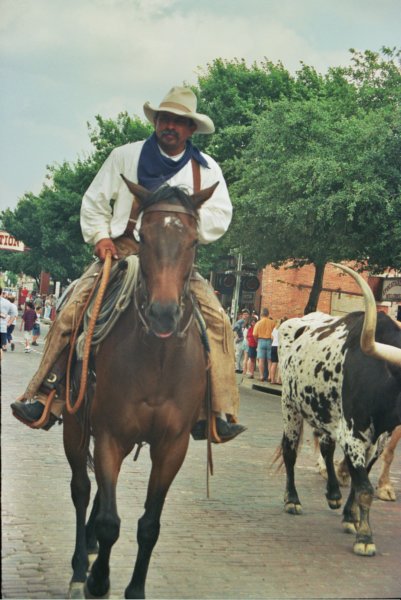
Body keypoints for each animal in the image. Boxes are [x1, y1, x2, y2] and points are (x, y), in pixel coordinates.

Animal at [64, 180, 217, 596]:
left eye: (194, 241)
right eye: (144, 237)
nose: (164, 313)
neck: (157, 359)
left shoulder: (172, 446)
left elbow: (149, 525)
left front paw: (135, 589)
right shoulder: (110, 435)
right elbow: (109, 522)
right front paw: (97, 580)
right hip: (75, 426)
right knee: (82, 489)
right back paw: (80, 567)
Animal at [278, 264, 400, 556]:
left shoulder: (378, 439)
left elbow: (359, 480)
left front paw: (350, 517)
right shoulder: (354, 434)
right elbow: (364, 487)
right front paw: (365, 537)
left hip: (325, 411)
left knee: (326, 445)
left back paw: (333, 495)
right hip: (290, 405)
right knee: (289, 451)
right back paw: (292, 499)